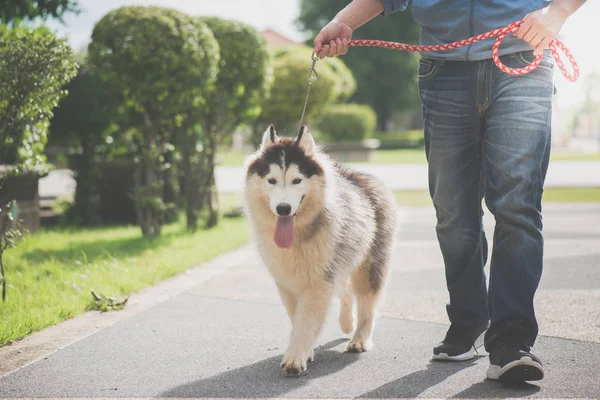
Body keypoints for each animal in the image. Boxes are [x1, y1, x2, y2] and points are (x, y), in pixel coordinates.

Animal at [241, 124, 396, 376]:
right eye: (272, 180)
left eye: (297, 180)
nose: (283, 209)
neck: (297, 234)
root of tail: (356, 174)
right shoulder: (287, 281)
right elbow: (297, 318)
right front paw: (305, 350)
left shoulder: (318, 281)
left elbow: (306, 320)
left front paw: (295, 357)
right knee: (345, 290)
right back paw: (347, 323)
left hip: (369, 264)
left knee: (367, 301)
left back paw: (360, 338)